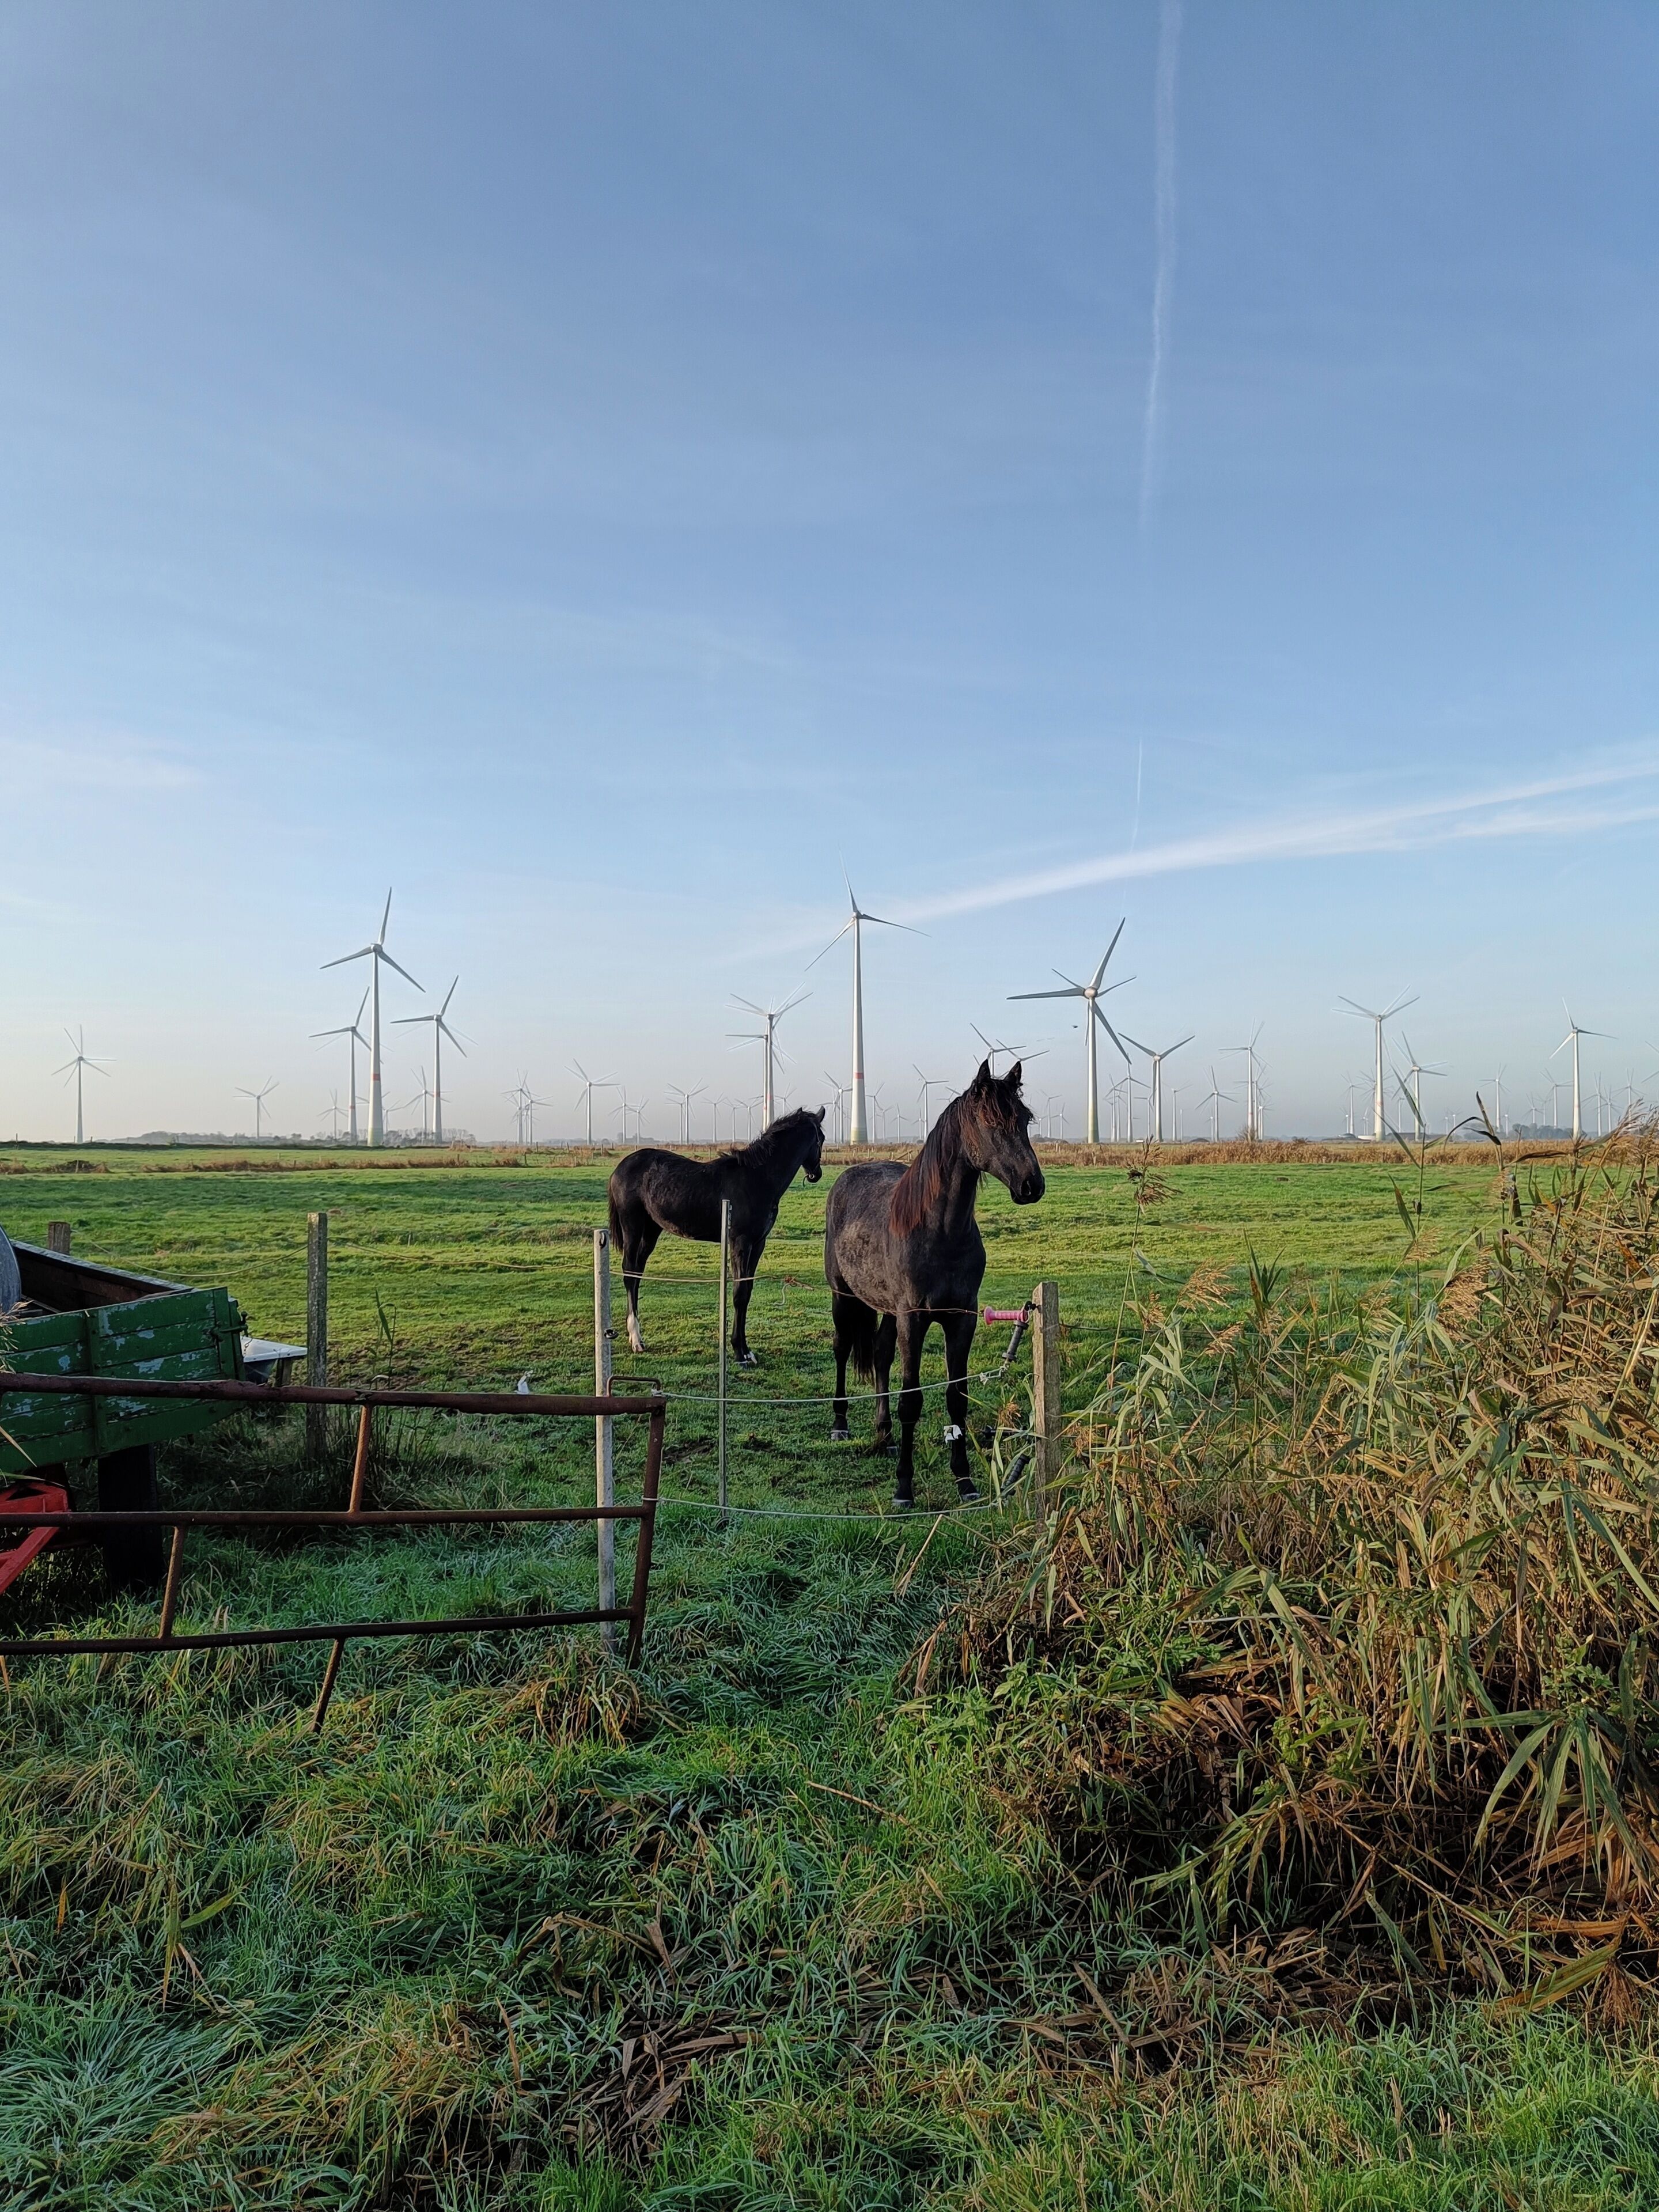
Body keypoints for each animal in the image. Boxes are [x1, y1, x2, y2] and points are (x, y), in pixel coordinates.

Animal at [608, 1106, 826, 1364]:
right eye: (821, 1139)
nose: (816, 1174)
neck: (757, 1179)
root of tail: (620, 1168)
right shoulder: (740, 1243)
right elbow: (739, 1294)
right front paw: (740, 1352)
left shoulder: (758, 1244)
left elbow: (747, 1292)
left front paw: (747, 1350)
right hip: (632, 1227)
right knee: (629, 1273)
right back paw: (636, 1339)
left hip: (651, 1231)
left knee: (637, 1273)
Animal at [823, 1059, 1044, 1507]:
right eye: (990, 1121)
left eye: (1025, 1119)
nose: (1032, 1185)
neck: (941, 1232)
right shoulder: (915, 1318)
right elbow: (912, 1400)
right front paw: (903, 1488)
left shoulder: (962, 1319)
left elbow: (956, 1399)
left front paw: (965, 1481)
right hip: (843, 1296)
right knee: (842, 1348)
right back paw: (840, 1424)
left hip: (888, 1311)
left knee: (880, 1354)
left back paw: (885, 1434)